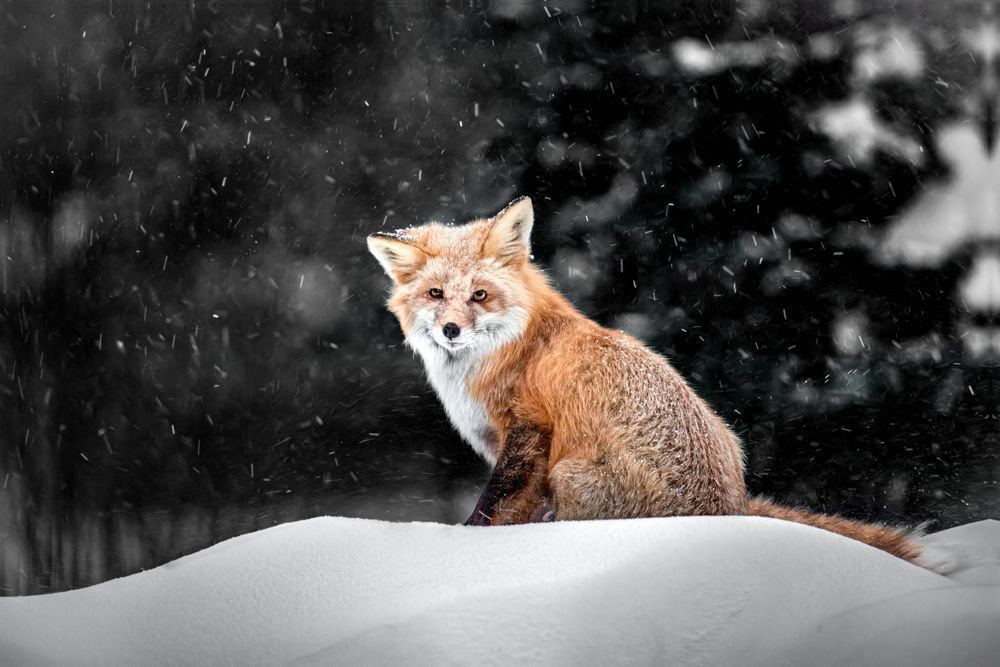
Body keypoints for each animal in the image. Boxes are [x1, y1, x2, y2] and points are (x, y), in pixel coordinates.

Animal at [367, 196, 944, 570]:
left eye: (480, 295)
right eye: (437, 294)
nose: (451, 330)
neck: (512, 350)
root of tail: (730, 508)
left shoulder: (528, 433)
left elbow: (496, 510)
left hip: (571, 474)